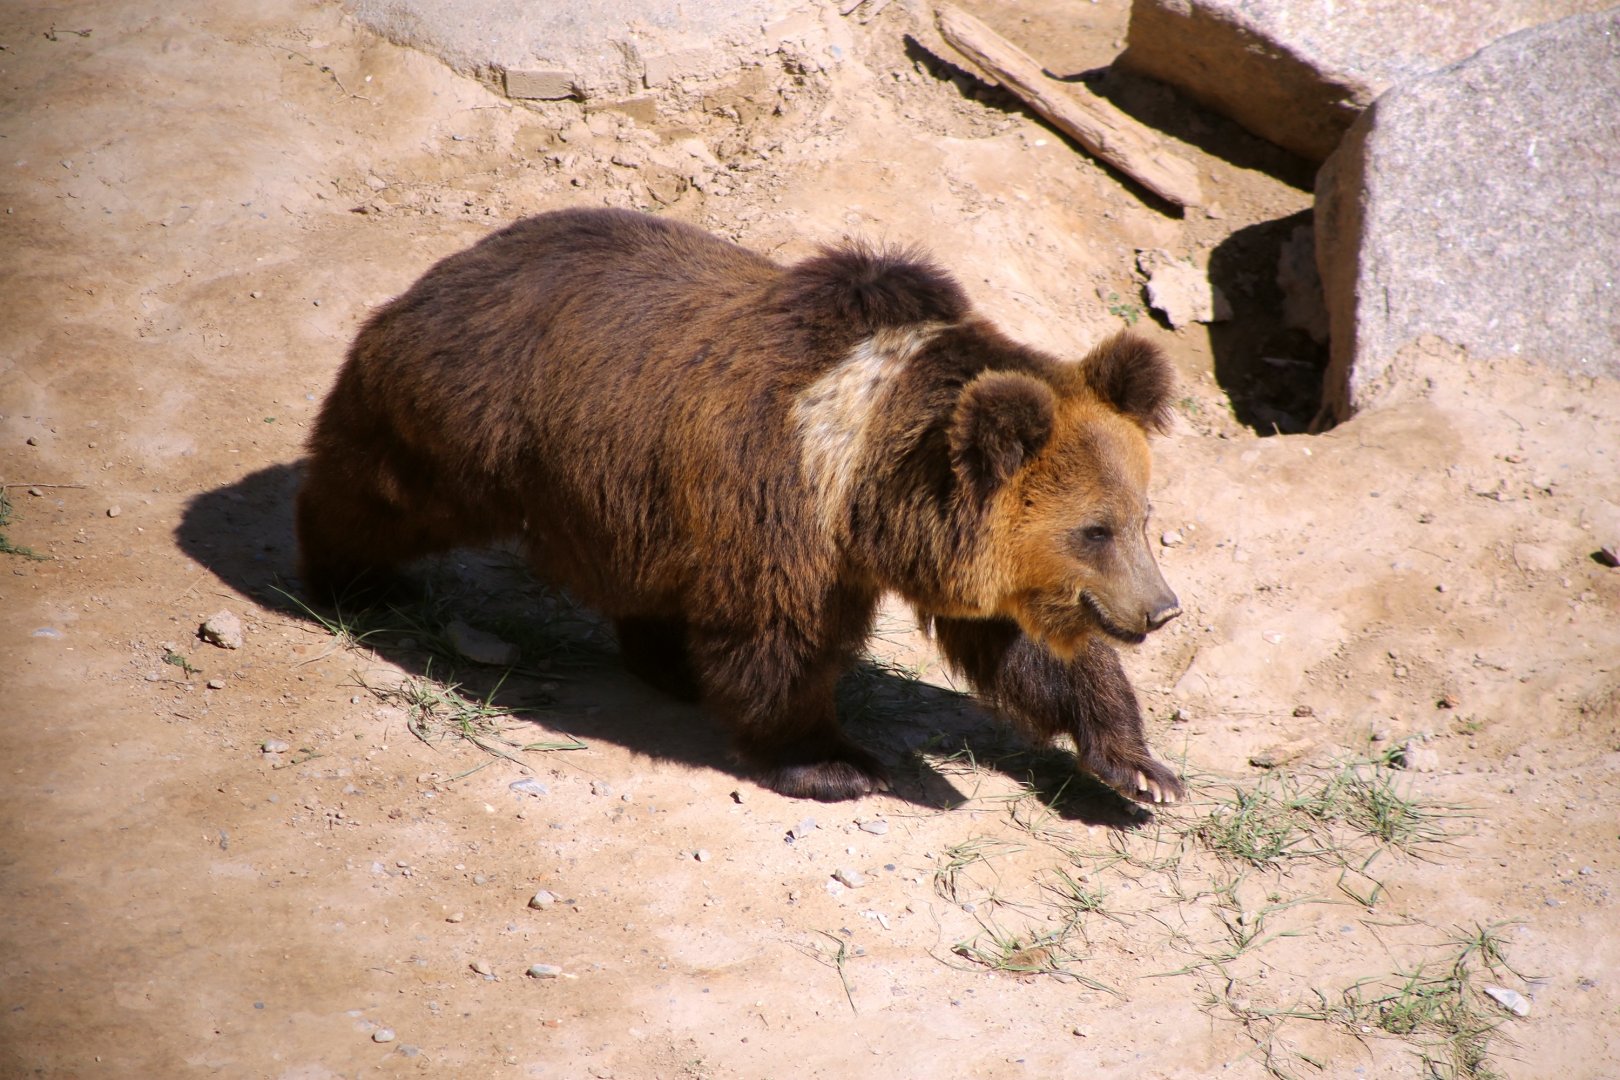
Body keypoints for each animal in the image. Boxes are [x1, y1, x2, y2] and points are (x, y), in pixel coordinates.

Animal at [296, 207, 1184, 804]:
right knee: (378, 491)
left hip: (629, 497)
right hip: (471, 418)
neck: (862, 474)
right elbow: (777, 641)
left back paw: (665, 660)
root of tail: (456, 262)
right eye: (1095, 529)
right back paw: (348, 579)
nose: (1161, 609)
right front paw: (835, 760)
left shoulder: (953, 546)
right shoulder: (777, 507)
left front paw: (1140, 769)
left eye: (1140, 519)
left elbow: (1025, 647)